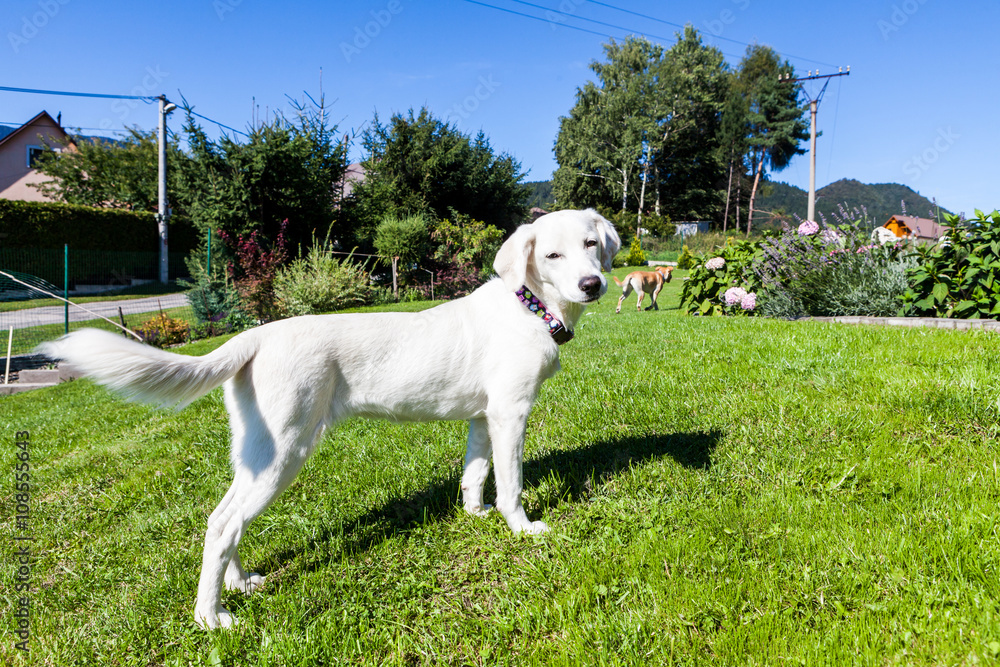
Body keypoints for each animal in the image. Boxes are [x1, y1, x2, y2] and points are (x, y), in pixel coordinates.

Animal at [41, 209, 616, 632]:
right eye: (552, 255)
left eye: (591, 244)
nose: (593, 284)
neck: (529, 305)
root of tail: (256, 334)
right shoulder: (510, 413)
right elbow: (511, 483)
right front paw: (522, 528)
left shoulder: (482, 416)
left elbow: (475, 474)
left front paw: (475, 515)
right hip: (286, 451)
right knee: (224, 525)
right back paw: (211, 616)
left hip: (257, 451)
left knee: (221, 518)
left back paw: (238, 583)